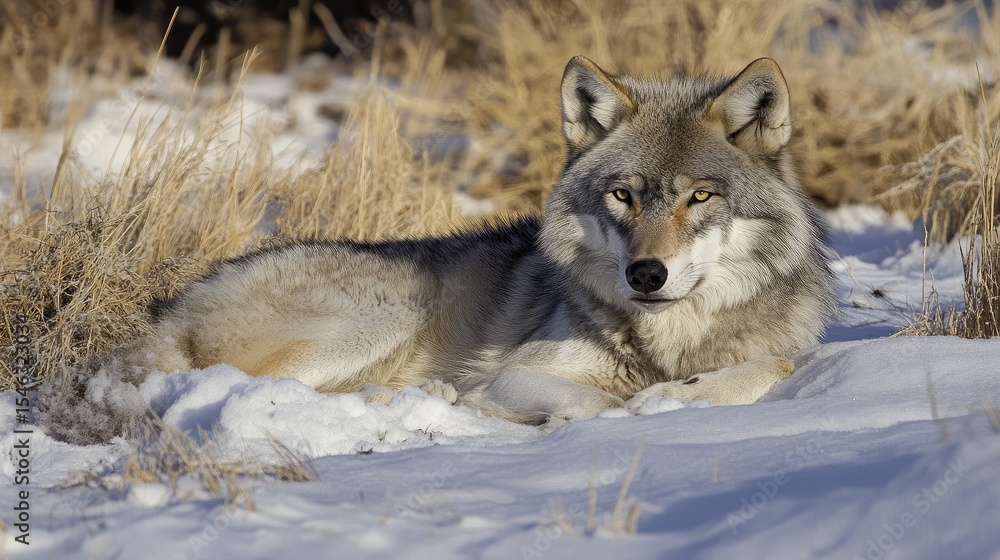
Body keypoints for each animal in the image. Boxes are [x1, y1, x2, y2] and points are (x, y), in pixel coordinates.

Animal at [106, 56, 835, 426]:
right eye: (623, 196)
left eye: (699, 198)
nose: (646, 274)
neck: (668, 344)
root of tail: (172, 308)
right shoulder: (517, 372)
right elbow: (604, 403)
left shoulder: (780, 352)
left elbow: (774, 367)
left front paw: (682, 394)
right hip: (387, 313)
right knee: (255, 388)